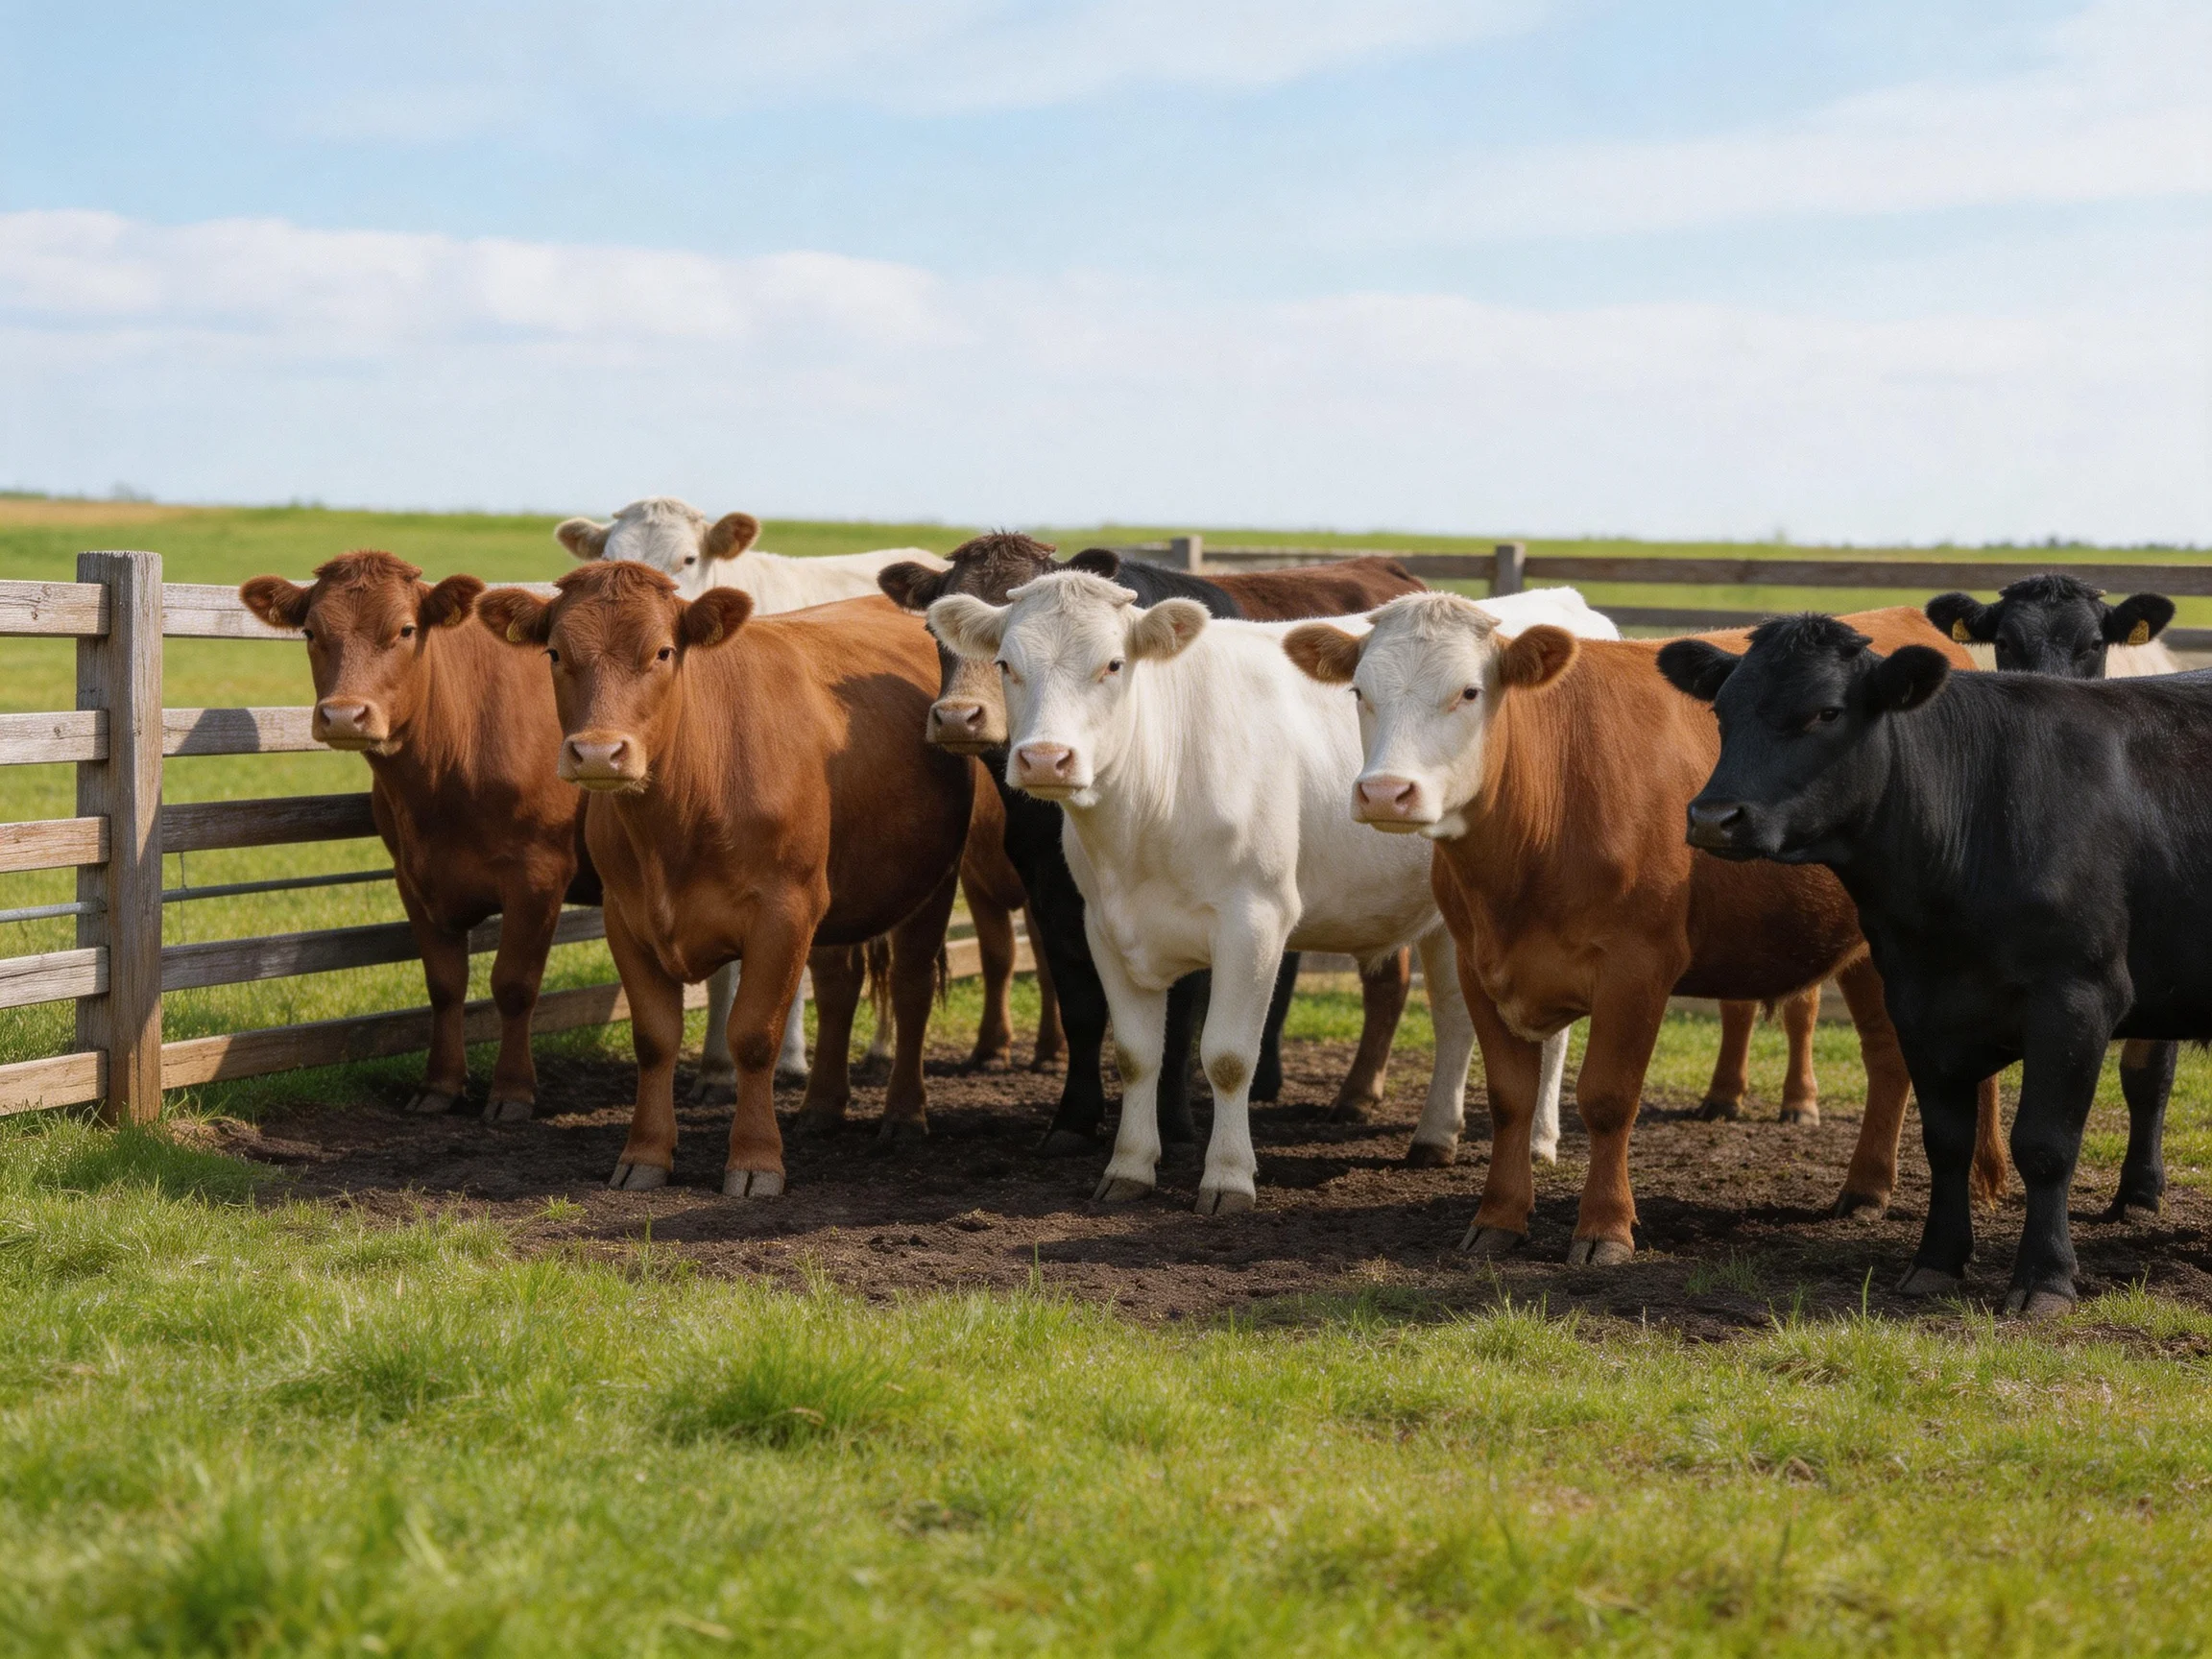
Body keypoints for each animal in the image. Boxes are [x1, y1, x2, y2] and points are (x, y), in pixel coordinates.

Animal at [240, 552, 598, 1122]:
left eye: (406, 629)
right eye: (311, 631)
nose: (345, 714)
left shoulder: (539, 874)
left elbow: (514, 985)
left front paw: (512, 1092)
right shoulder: (414, 876)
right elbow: (445, 985)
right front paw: (441, 1085)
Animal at [477, 564, 976, 1195]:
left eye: (663, 652)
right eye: (555, 652)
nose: (597, 752)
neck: (682, 810)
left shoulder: (784, 912)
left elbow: (754, 1036)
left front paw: (756, 1161)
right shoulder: (626, 918)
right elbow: (655, 1039)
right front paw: (645, 1153)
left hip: (931, 885)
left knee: (911, 989)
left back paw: (905, 1115)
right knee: (838, 987)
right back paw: (821, 1108)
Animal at [883, 534, 1437, 1156]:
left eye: (1111, 664)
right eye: (937, 633)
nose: (960, 717)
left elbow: (1181, 1020)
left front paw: (1172, 1123)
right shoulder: (1056, 899)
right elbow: (1080, 1007)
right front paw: (1074, 1119)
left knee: (1389, 979)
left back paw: (1357, 1095)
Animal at [926, 573, 1618, 1213]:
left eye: (1113, 664)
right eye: (1007, 664)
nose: (1046, 758)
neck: (1145, 811)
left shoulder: (1253, 921)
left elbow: (1228, 1056)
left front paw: (1228, 1179)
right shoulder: (1105, 926)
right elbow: (1136, 1055)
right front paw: (1128, 1168)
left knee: (1545, 1030)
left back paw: (1539, 1141)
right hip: (1451, 914)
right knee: (1453, 1014)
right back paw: (1433, 1138)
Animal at [1285, 597, 2007, 1262]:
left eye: (1469, 691)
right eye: (1359, 692)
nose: (1385, 792)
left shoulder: (1638, 966)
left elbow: (1608, 1097)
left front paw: (1604, 1229)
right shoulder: (1479, 963)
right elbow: (1511, 1099)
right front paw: (1499, 1218)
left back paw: (1963, 1180)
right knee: (1887, 1054)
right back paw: (1866, 1188)